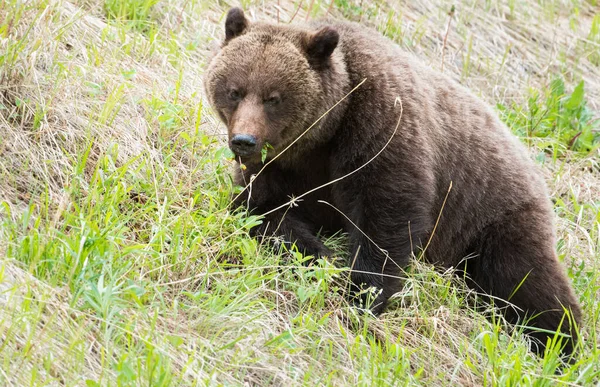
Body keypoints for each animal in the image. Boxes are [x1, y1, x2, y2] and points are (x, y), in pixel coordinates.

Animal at [205, 7, 580, 360]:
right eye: (234, 91)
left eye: (274, 97)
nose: (244, 141)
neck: (323, 134)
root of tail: (530, 160)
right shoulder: (283, 167)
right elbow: (265, 211)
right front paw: (319, 255)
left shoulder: (381, 127)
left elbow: (386, 217)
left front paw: (361, 295)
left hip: (492, 212)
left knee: (525, 280)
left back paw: (559, 343)